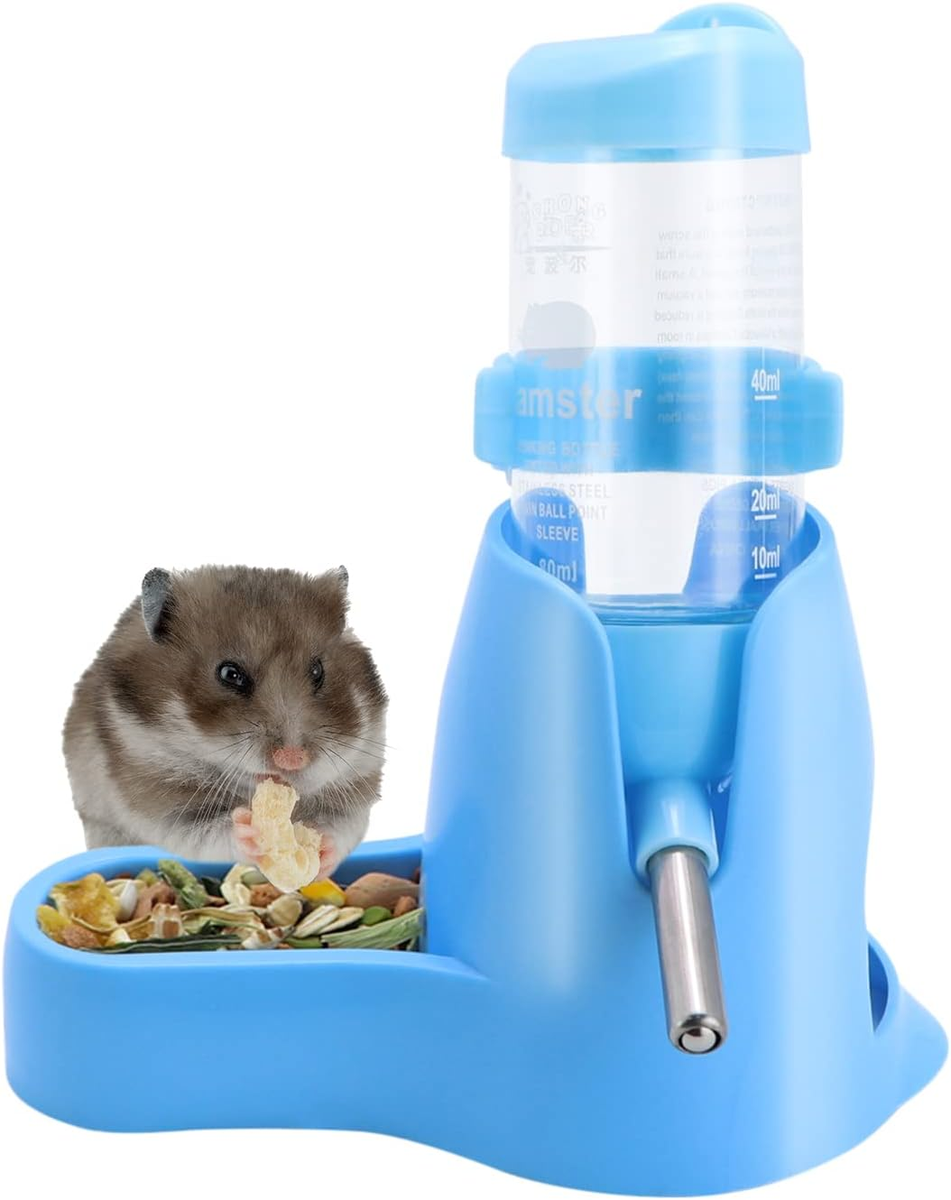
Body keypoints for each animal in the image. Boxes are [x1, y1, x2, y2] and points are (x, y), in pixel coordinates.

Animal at [63, 564, 387, 875]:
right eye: (230, 674)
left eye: (318, 671)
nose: (293, 760)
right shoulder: (160, 801)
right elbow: (207, 831)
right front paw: (252, 833)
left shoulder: (357, 782)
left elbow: (341, 825)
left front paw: (322, 847)